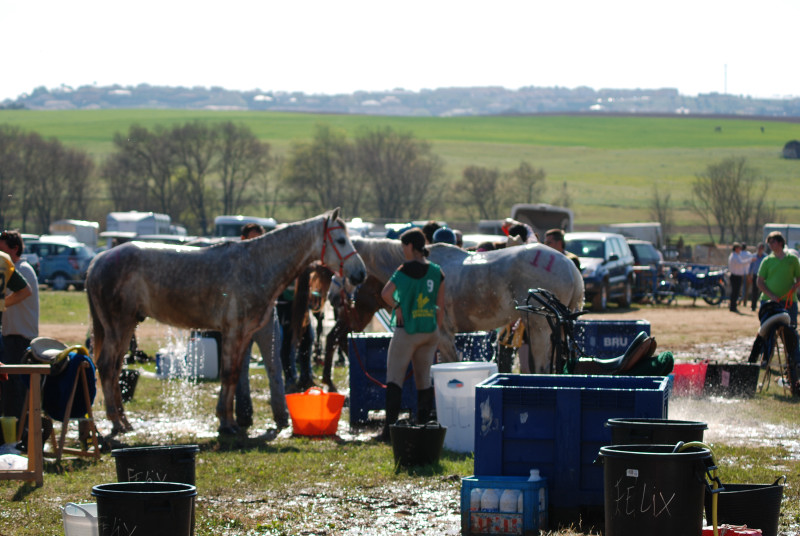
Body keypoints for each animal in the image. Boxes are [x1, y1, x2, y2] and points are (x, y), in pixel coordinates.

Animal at [85, 209, 366, 436]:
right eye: (341, 240)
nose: (360, 273)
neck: (257, 264)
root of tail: (98, 261)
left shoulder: (243, 335)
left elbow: (234, 376)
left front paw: (229, 421)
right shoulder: (233, 332)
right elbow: (230, 374)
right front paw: (226, 423)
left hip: (127, 326)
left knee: (116, 369)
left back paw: (125, 422)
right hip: (118, 327)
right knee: (107, 367)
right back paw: (116, 423)